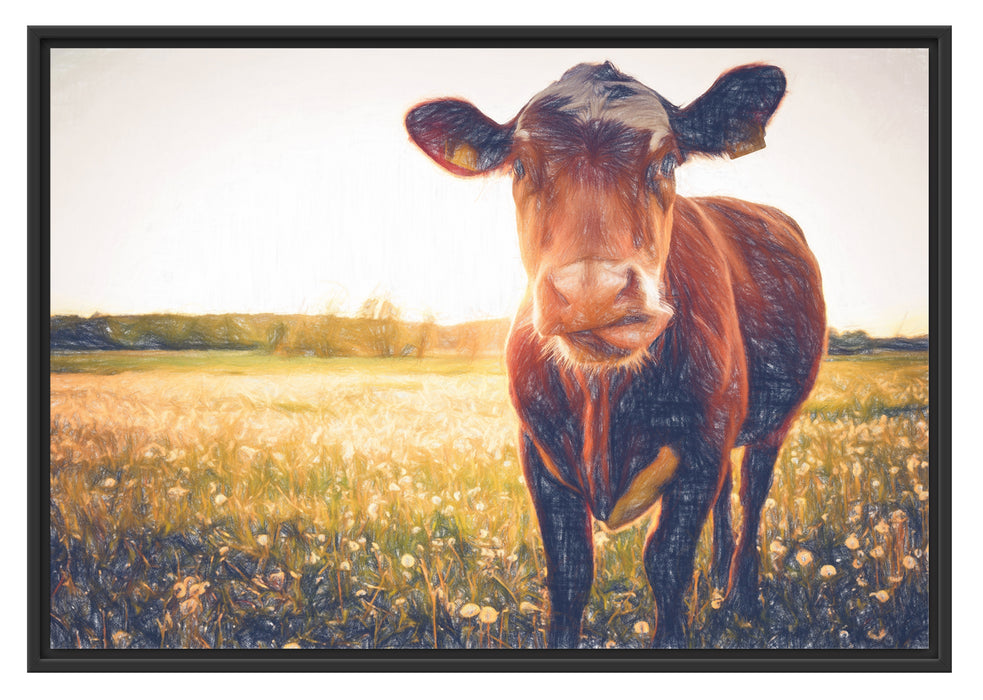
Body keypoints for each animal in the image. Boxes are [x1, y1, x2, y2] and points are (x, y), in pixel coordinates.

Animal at [405, 61, 826, 648]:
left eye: (668, 160)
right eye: (520, 167)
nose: (592, 292)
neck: (603, 400)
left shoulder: (702, 448)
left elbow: (667, 563)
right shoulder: (538, 452)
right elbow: (569, 571)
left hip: (772, 423)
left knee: (752, 495)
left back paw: (741, 598)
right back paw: (716, 583)